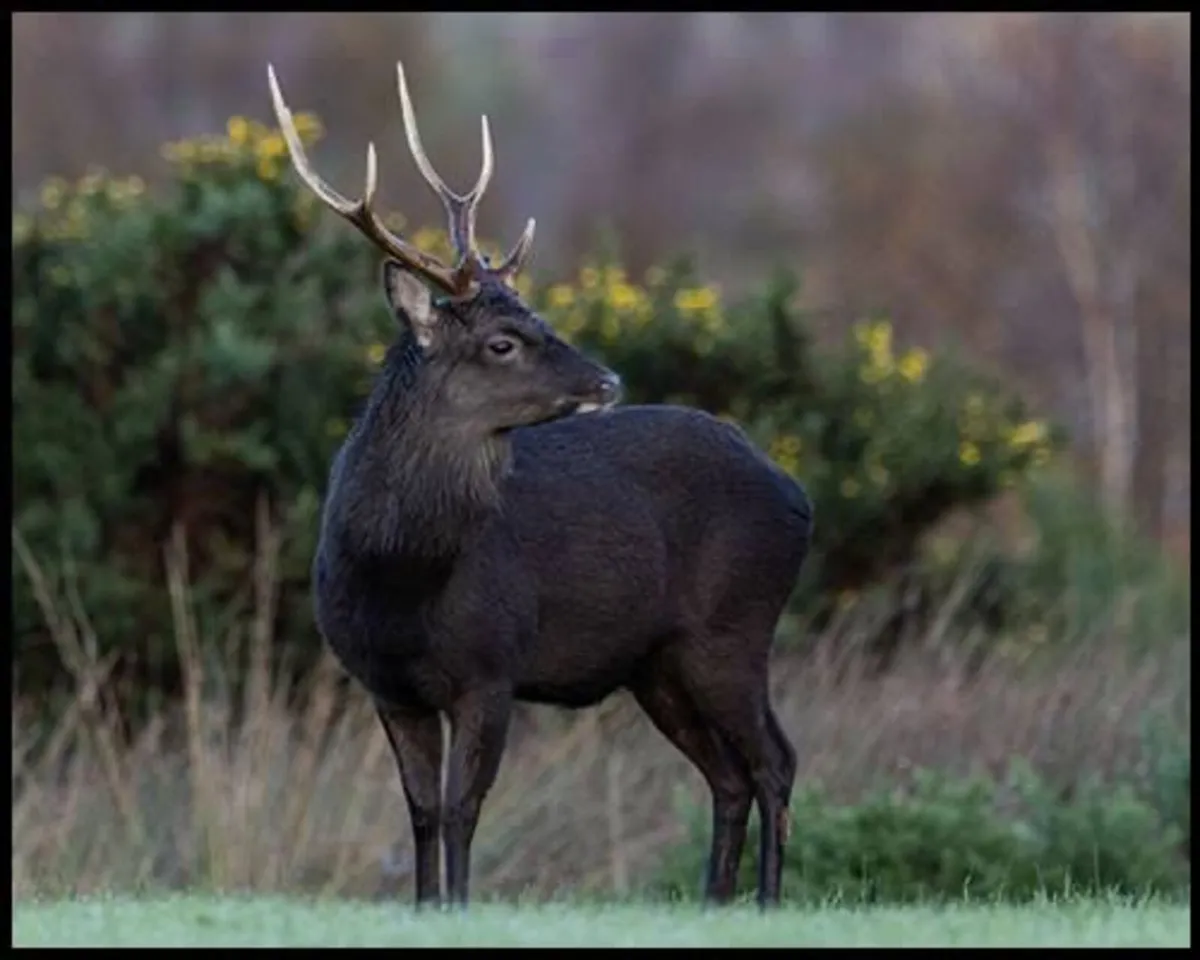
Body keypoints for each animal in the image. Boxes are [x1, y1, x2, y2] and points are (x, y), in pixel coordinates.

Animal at [267, 62, 813, 909]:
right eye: (503, 341)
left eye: (540, 317)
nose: (608, 379)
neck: (398, 576)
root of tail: (799, 496)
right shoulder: (386, 684)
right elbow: (421, 811)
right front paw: (425, 907)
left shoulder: (492, 663)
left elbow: (463, 807)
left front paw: (460, 907)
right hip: (655, 662)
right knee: (727, 774)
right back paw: (713, 901)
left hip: (734, 627)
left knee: (775, 760)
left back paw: (764, 903)